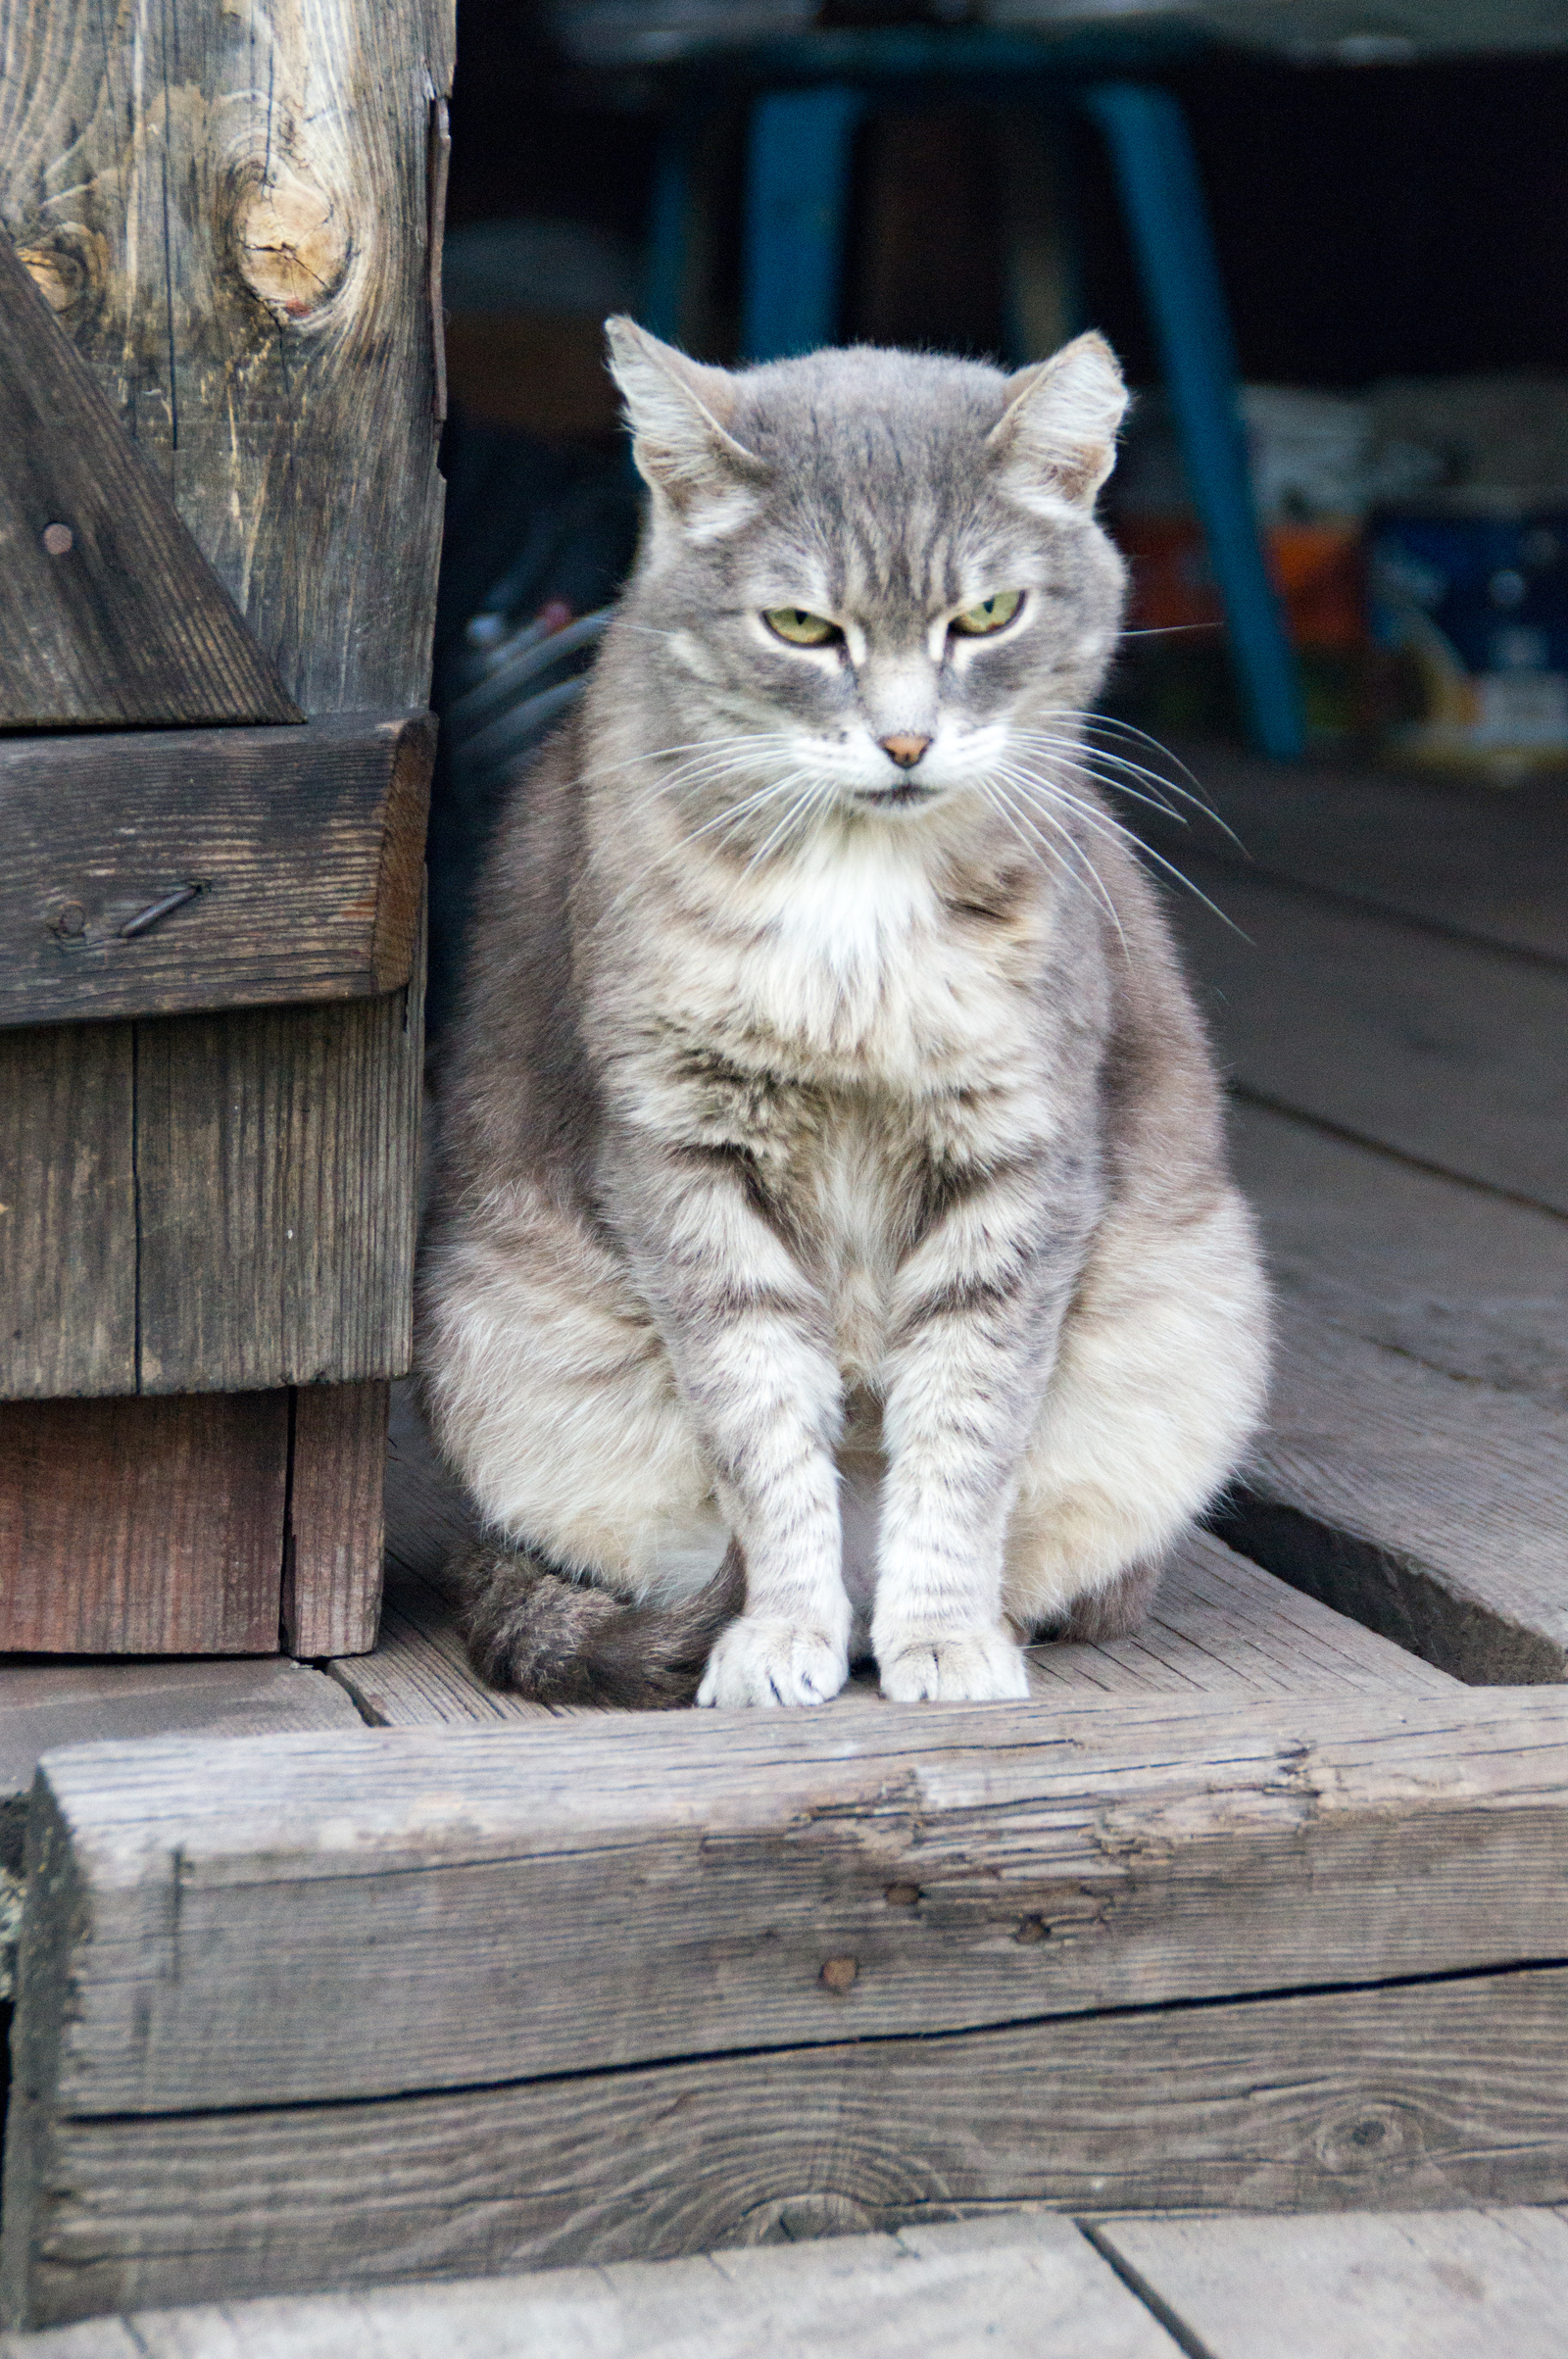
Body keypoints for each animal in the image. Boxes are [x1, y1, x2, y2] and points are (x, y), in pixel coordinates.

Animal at [419, 318, 1273, 1717]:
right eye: (800, 625)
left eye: (986, 614)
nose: (907, 742)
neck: (858, 904)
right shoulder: (683, 1157)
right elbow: (762, 1429)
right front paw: (783, 1632)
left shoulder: (1018, 1154)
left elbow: (965, 1431)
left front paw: (943, 1634)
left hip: (1192, 1334)